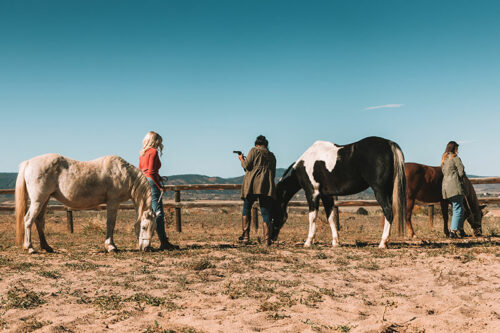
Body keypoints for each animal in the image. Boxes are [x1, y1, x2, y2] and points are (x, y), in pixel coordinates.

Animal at [15, 153, 156, 252]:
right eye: (144, 227)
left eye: (153, 229)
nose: (146, 248)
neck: (123, 172)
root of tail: (28, 163)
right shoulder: (113, 202)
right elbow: (111, 223)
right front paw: (111, 246)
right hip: (38, 201)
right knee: (28, 220)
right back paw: (30, 247)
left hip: (45, 199)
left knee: (38, 220)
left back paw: (46, 247)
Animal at [272, 136, 408, 248]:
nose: (271, 239)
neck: (305, 164)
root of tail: (388, 143)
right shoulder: (326, 196)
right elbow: (331, 217)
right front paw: (335, 242)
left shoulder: (312, 193)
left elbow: (312, 217)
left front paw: (308, 242)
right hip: (387, 190)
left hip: (380, 190)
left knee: (388, 211)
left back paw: (382, 243)